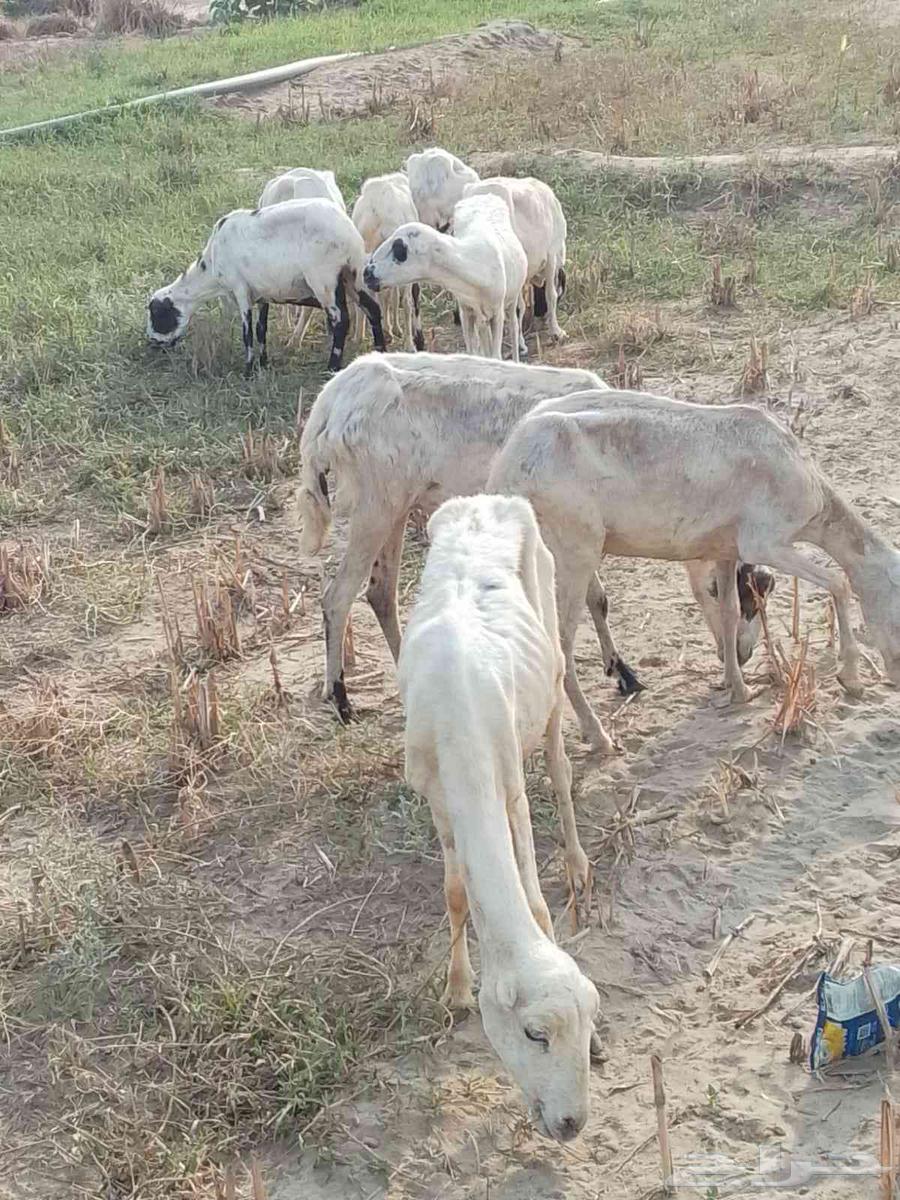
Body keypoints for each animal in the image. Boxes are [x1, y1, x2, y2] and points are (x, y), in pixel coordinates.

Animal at [147, 199, 384, 375]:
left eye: (157, 314)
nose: (151, 343)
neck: (211, 268)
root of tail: (348, 232)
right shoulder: (262, 295)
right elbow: (262, 329)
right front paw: (263, 363)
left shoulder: (240, 289)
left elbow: (247, 332)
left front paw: (248, 370)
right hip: (353, 274)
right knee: (373, 309)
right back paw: (380, 351)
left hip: (324, 278)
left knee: (340, 320)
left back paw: (332, 368)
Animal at [298, 353, 772, 736]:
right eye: (717, 589)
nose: (741, 653)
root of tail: (330, 403)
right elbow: (596, 598)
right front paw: (622, 673)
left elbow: (598, 600)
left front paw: (621, 671)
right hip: (375, 507)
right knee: (338, 597)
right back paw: (341, 699)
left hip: (395, 509)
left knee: (380, 592)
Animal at [363, 193, 528, 360]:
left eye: (400, 250)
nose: (367, 273)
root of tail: (485, 195)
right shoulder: (466, 310)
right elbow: (473, 350)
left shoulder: (497, 313)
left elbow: (495, 355)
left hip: (511, 299)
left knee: (514, 326)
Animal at [400, 493, 600, 1142]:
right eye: (536, 1034)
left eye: (591, 1023)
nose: (571, 1124)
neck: (457, 711)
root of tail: (486, 501)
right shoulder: (435, 796)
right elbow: (456, 891)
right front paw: (458, 990)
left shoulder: (508, 786)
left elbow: (533, 902)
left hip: (552, 654)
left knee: (559, 765)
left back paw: (577, 863)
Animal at [486, 387, 900, 749]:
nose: (896, 678)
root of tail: (504, 471)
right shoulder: (765, 542)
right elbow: (839, 583)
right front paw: (852, 679)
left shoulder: (728, 549)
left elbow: (729, 613)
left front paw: (738, 687)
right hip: (574, 551)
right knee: (559, 645)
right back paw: (599, 737)